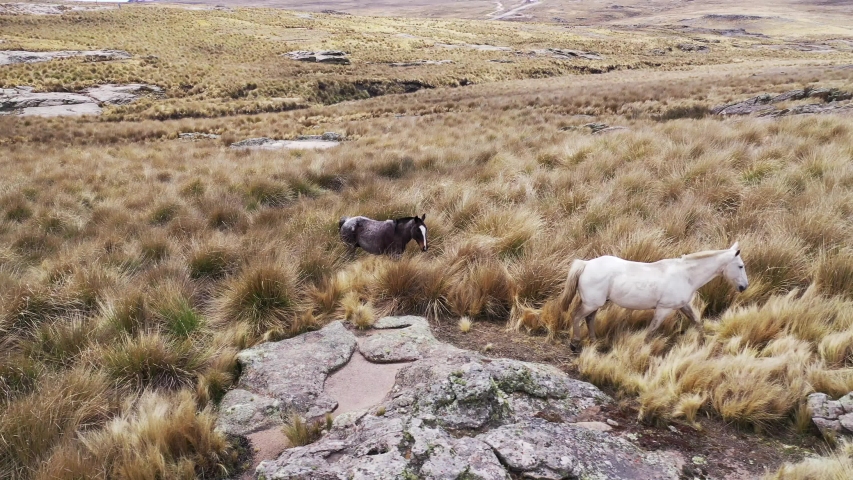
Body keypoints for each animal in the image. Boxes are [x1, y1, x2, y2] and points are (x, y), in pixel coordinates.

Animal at [555, 242, 748, 352]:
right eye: (740, 266)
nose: (744, 287)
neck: (686, 275)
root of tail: (586, 264)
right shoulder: (664, 309)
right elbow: (651, 331)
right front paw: (643, 350)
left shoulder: (683, 306)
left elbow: (697, 322)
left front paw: (703, 343)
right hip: (591, 303)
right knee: (577, 316)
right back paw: (575, 344)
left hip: (596, 304)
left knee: (589, 319)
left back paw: (595, 343)